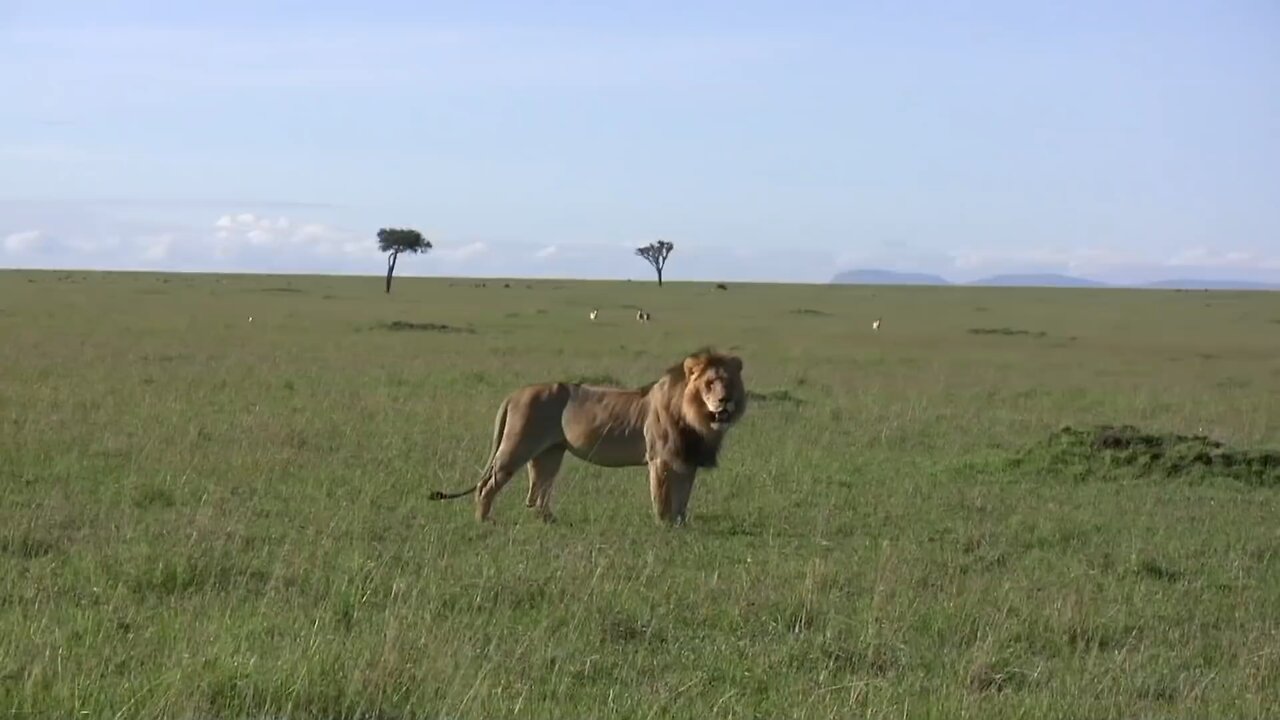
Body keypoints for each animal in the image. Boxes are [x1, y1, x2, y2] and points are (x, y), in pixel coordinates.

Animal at [432, 348, 747, 520]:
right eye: (709, 384)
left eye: (729, 382)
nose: (725, 401)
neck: (698, 418)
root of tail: (515, 394)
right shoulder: (660, 459)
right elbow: (662, 497)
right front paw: (664, 526)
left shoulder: (687, 460)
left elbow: (683, 499)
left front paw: (681, 526)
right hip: (516, 446)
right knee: (489, 485)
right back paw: (485, 521)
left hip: (549, 453)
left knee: (538, 490)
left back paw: (549, 520)